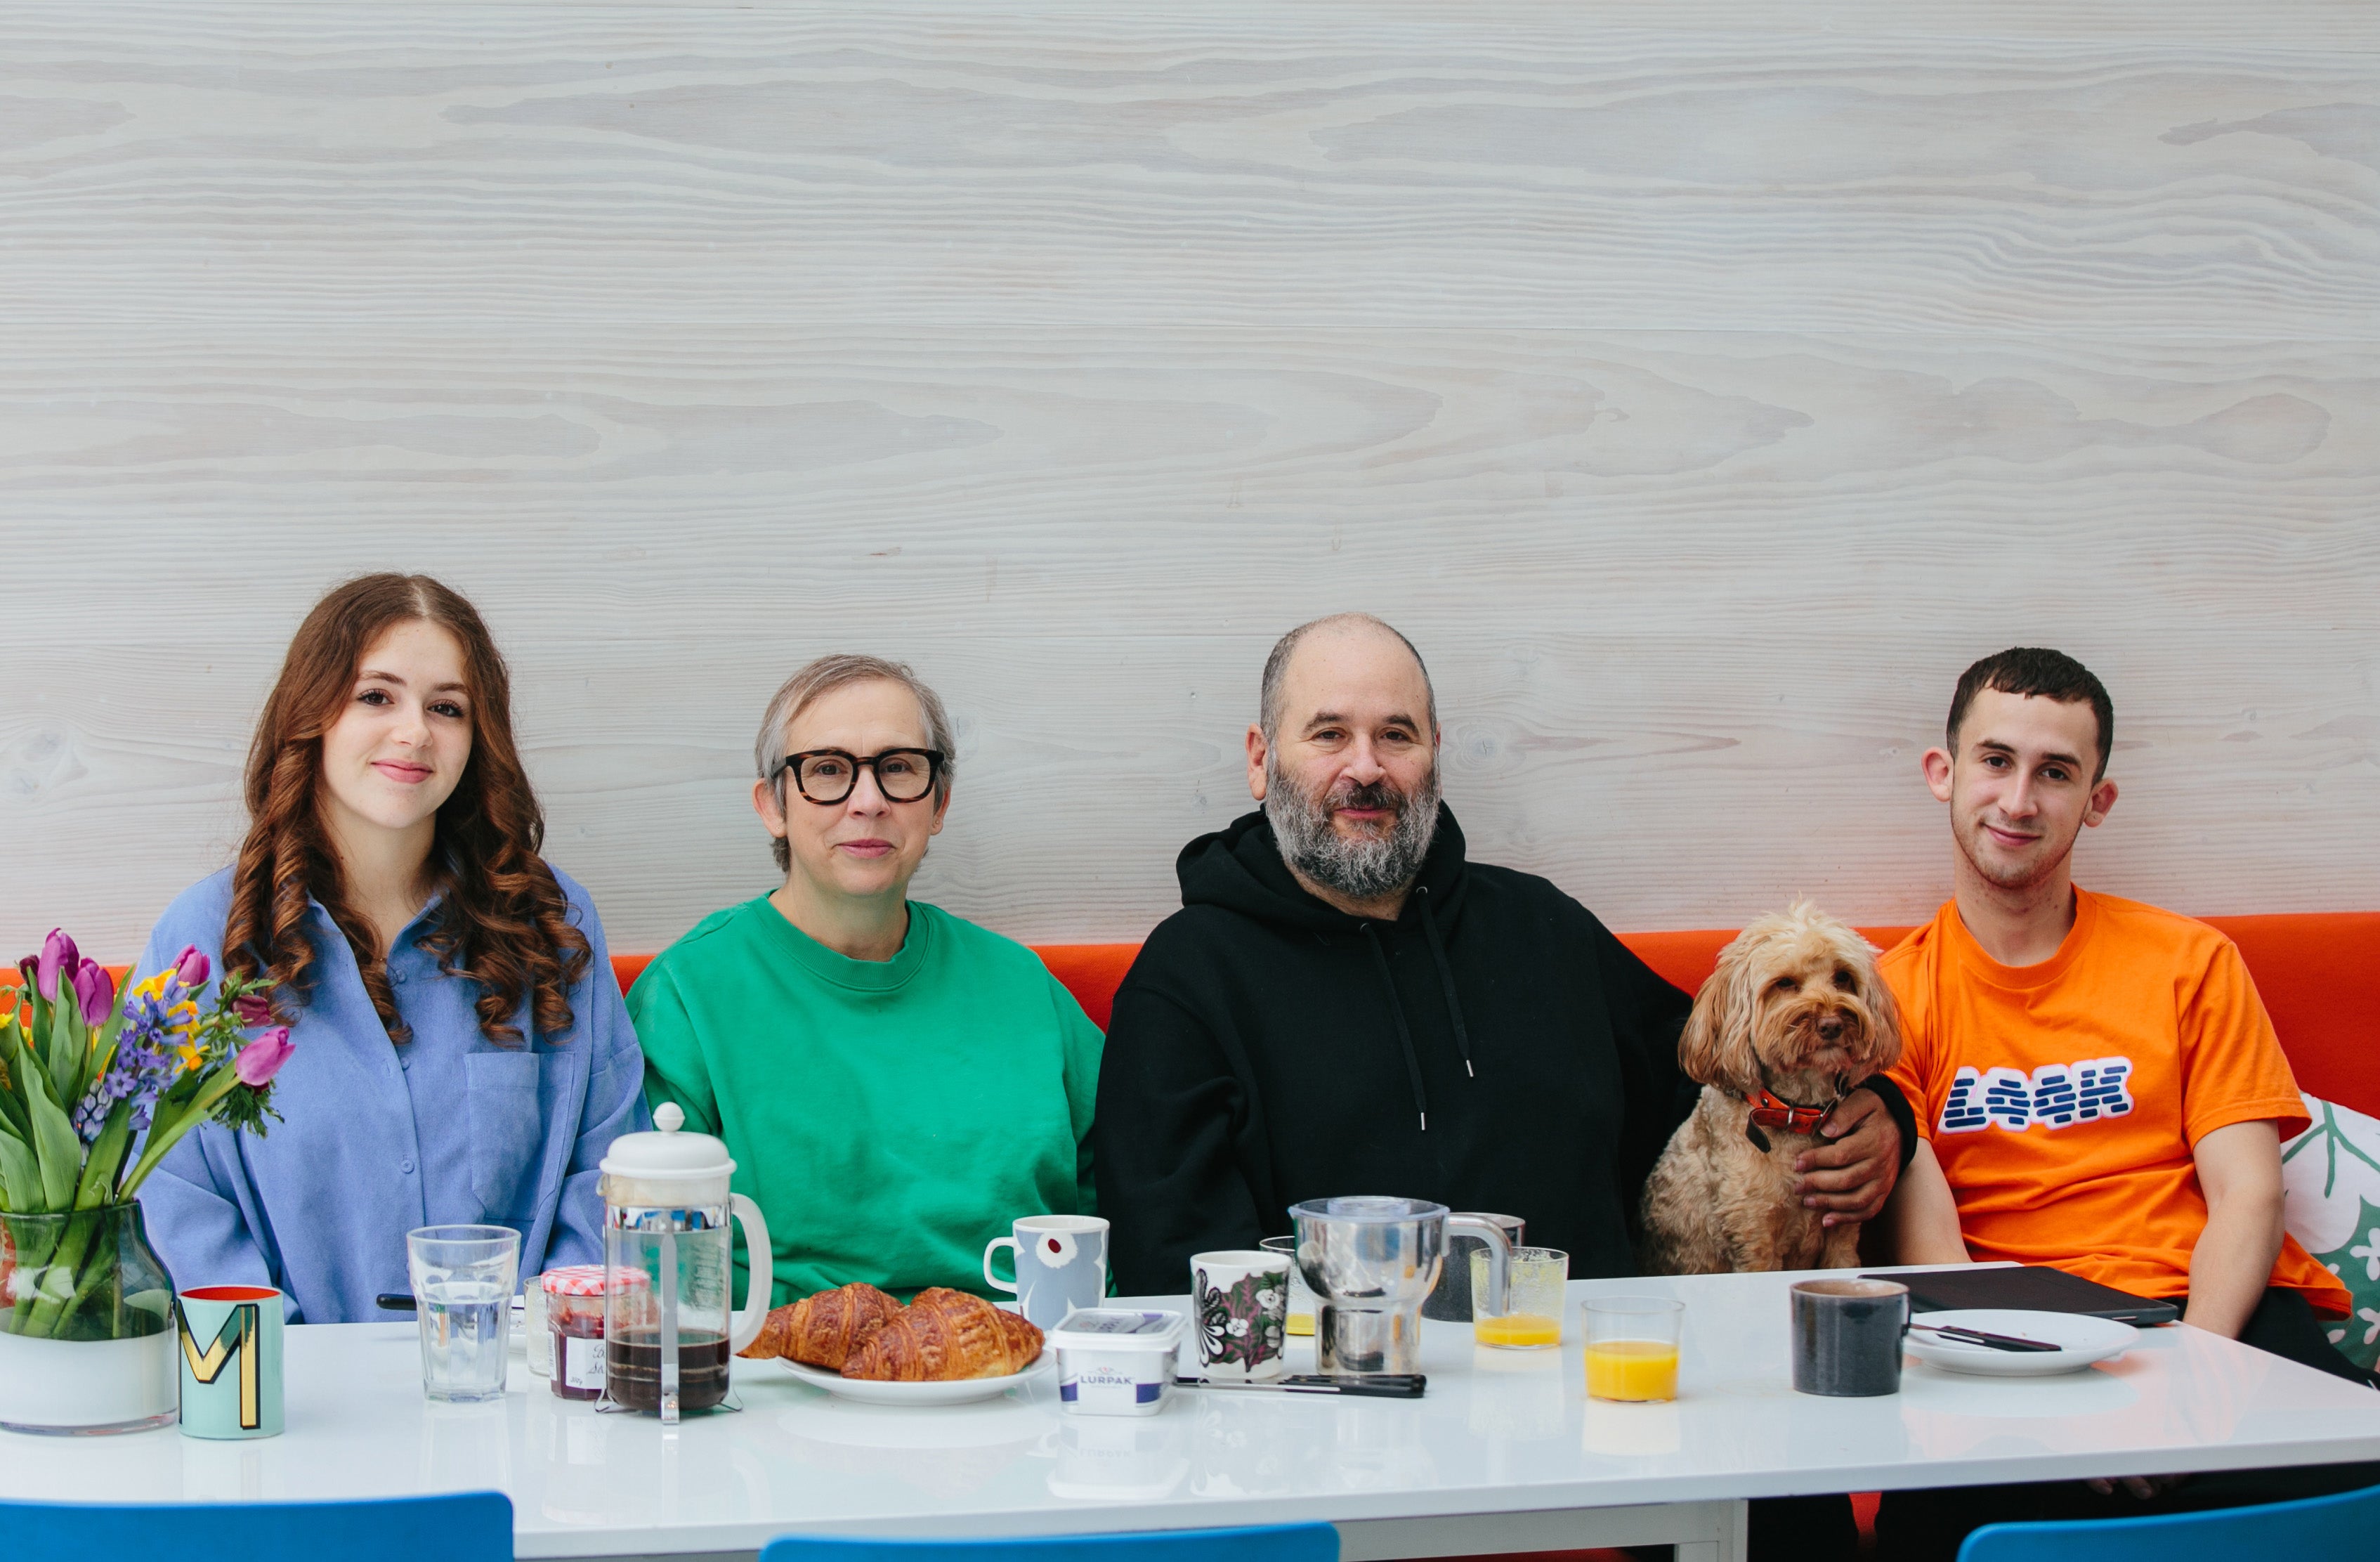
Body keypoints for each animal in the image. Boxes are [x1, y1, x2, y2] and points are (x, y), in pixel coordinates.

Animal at [1647, 895, 1904, 1276]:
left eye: (1843, 977)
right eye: (1784, 983)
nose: (1831, 1023)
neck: (1794, 1113)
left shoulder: (1842, 1233)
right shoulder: (1753, 1238)